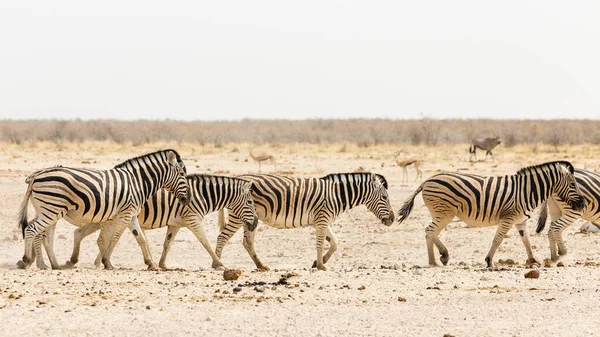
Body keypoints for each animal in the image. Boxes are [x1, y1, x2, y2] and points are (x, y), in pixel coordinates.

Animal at [17, 148, 190, 270]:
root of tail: (35, 176)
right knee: (32, 230)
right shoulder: (125, 214)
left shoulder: (132, 215)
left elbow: (140, 238)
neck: (137, 182)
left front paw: (151, 264)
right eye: (182, 173)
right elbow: (116, 238)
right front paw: (107, 262)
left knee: (45, 235)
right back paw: (28, 260)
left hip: (49, 210)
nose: (187, 199)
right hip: (51, 209)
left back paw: (53, 264)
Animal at [65, 175, 258, 270]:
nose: (255, 224)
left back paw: (83, 262)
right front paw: (219, 263)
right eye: (250, 202)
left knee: (81, 233)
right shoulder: (193, 219)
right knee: (97, 238)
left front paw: (163, 264)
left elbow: (168, 244)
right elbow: (205, 242)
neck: (201, 195)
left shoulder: (175, 223)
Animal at [213, 172, 392, 270]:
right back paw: (217, 264)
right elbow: (320, 243)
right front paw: (321, 265)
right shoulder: (322, 219)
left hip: (249, 219)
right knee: (222, 237)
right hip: (238, 216)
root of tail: (235, 178)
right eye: (384, 197)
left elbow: (335, 243)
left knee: (247, 243)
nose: (392, 219)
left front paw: (318, 262)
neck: (337, 195)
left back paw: (261, 266)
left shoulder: (323, 220)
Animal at [396, 161, 584, 268]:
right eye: (573, 184)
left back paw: (437, 258)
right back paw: (439, 258)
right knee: (430, 231)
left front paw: (533, 261)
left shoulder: (520, 221)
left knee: (431, 232)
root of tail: (427, 180)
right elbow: (498, 239)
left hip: (440, 213)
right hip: (445, 213)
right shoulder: (508, 218)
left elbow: (527, 242)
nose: (582, 204)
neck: (527, 191)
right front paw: (489, 261)